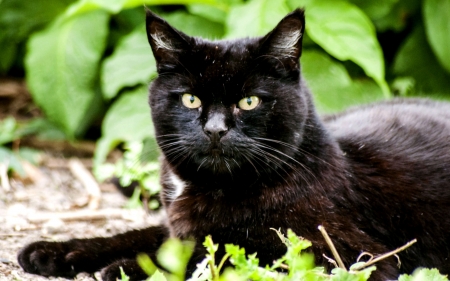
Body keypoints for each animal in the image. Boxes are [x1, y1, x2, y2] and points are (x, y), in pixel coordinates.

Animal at [17, 7, 450, 278]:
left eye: (249, 101)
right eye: (191, 99)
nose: (215, 129)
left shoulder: (349, 255)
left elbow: (223, 251)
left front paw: (128, 268)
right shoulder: (179, 226)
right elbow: (137, 237)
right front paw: (55, 250)